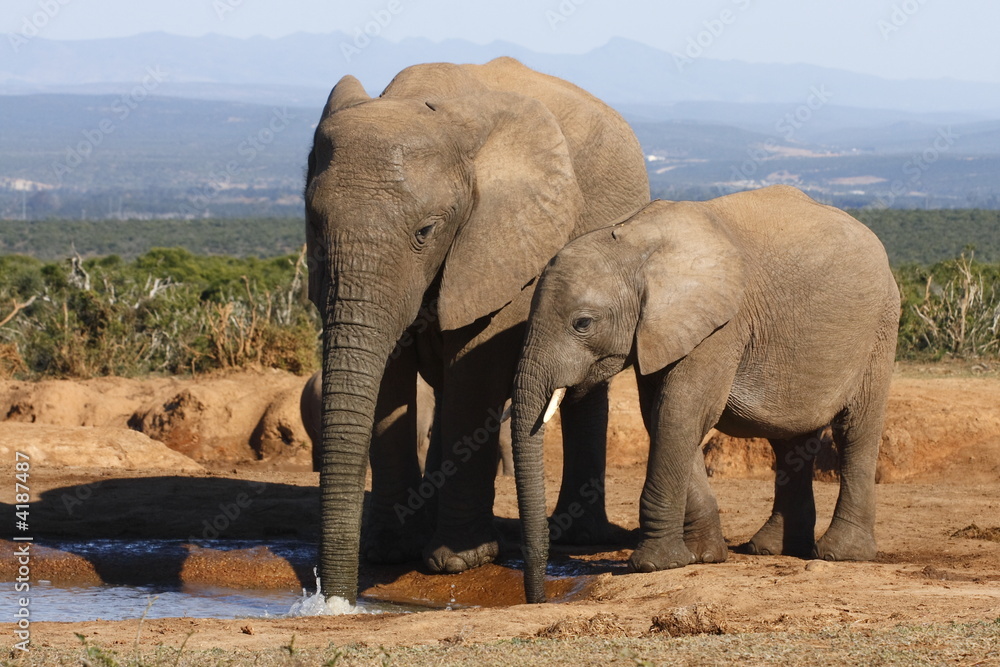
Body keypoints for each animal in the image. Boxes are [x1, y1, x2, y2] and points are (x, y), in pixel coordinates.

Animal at [510, 185, 900, 603]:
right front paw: (703, 556)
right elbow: (662, 416)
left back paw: (840, 554)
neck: (635, 243)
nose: (539, 598)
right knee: (790, 442)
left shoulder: (723, 324)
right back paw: (771, 549)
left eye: (582, 323)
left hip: (880, 327)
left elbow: (681, 411)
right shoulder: (662, 329)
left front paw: (654, 565)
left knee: (855, 431)